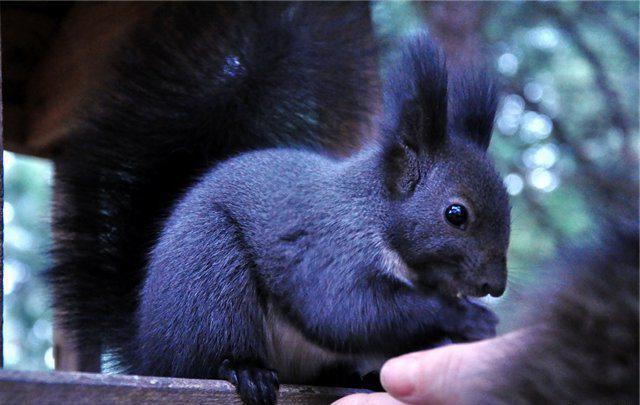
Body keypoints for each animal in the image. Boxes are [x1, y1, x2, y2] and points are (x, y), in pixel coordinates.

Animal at [47, 3, 510, 404]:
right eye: (456, 214)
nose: (495, 286)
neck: (377, 214)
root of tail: (147, 349)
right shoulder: (329, 245)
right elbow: (344, 309)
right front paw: (467, 319)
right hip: (209, 279)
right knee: (207, 356)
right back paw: (244, 370)